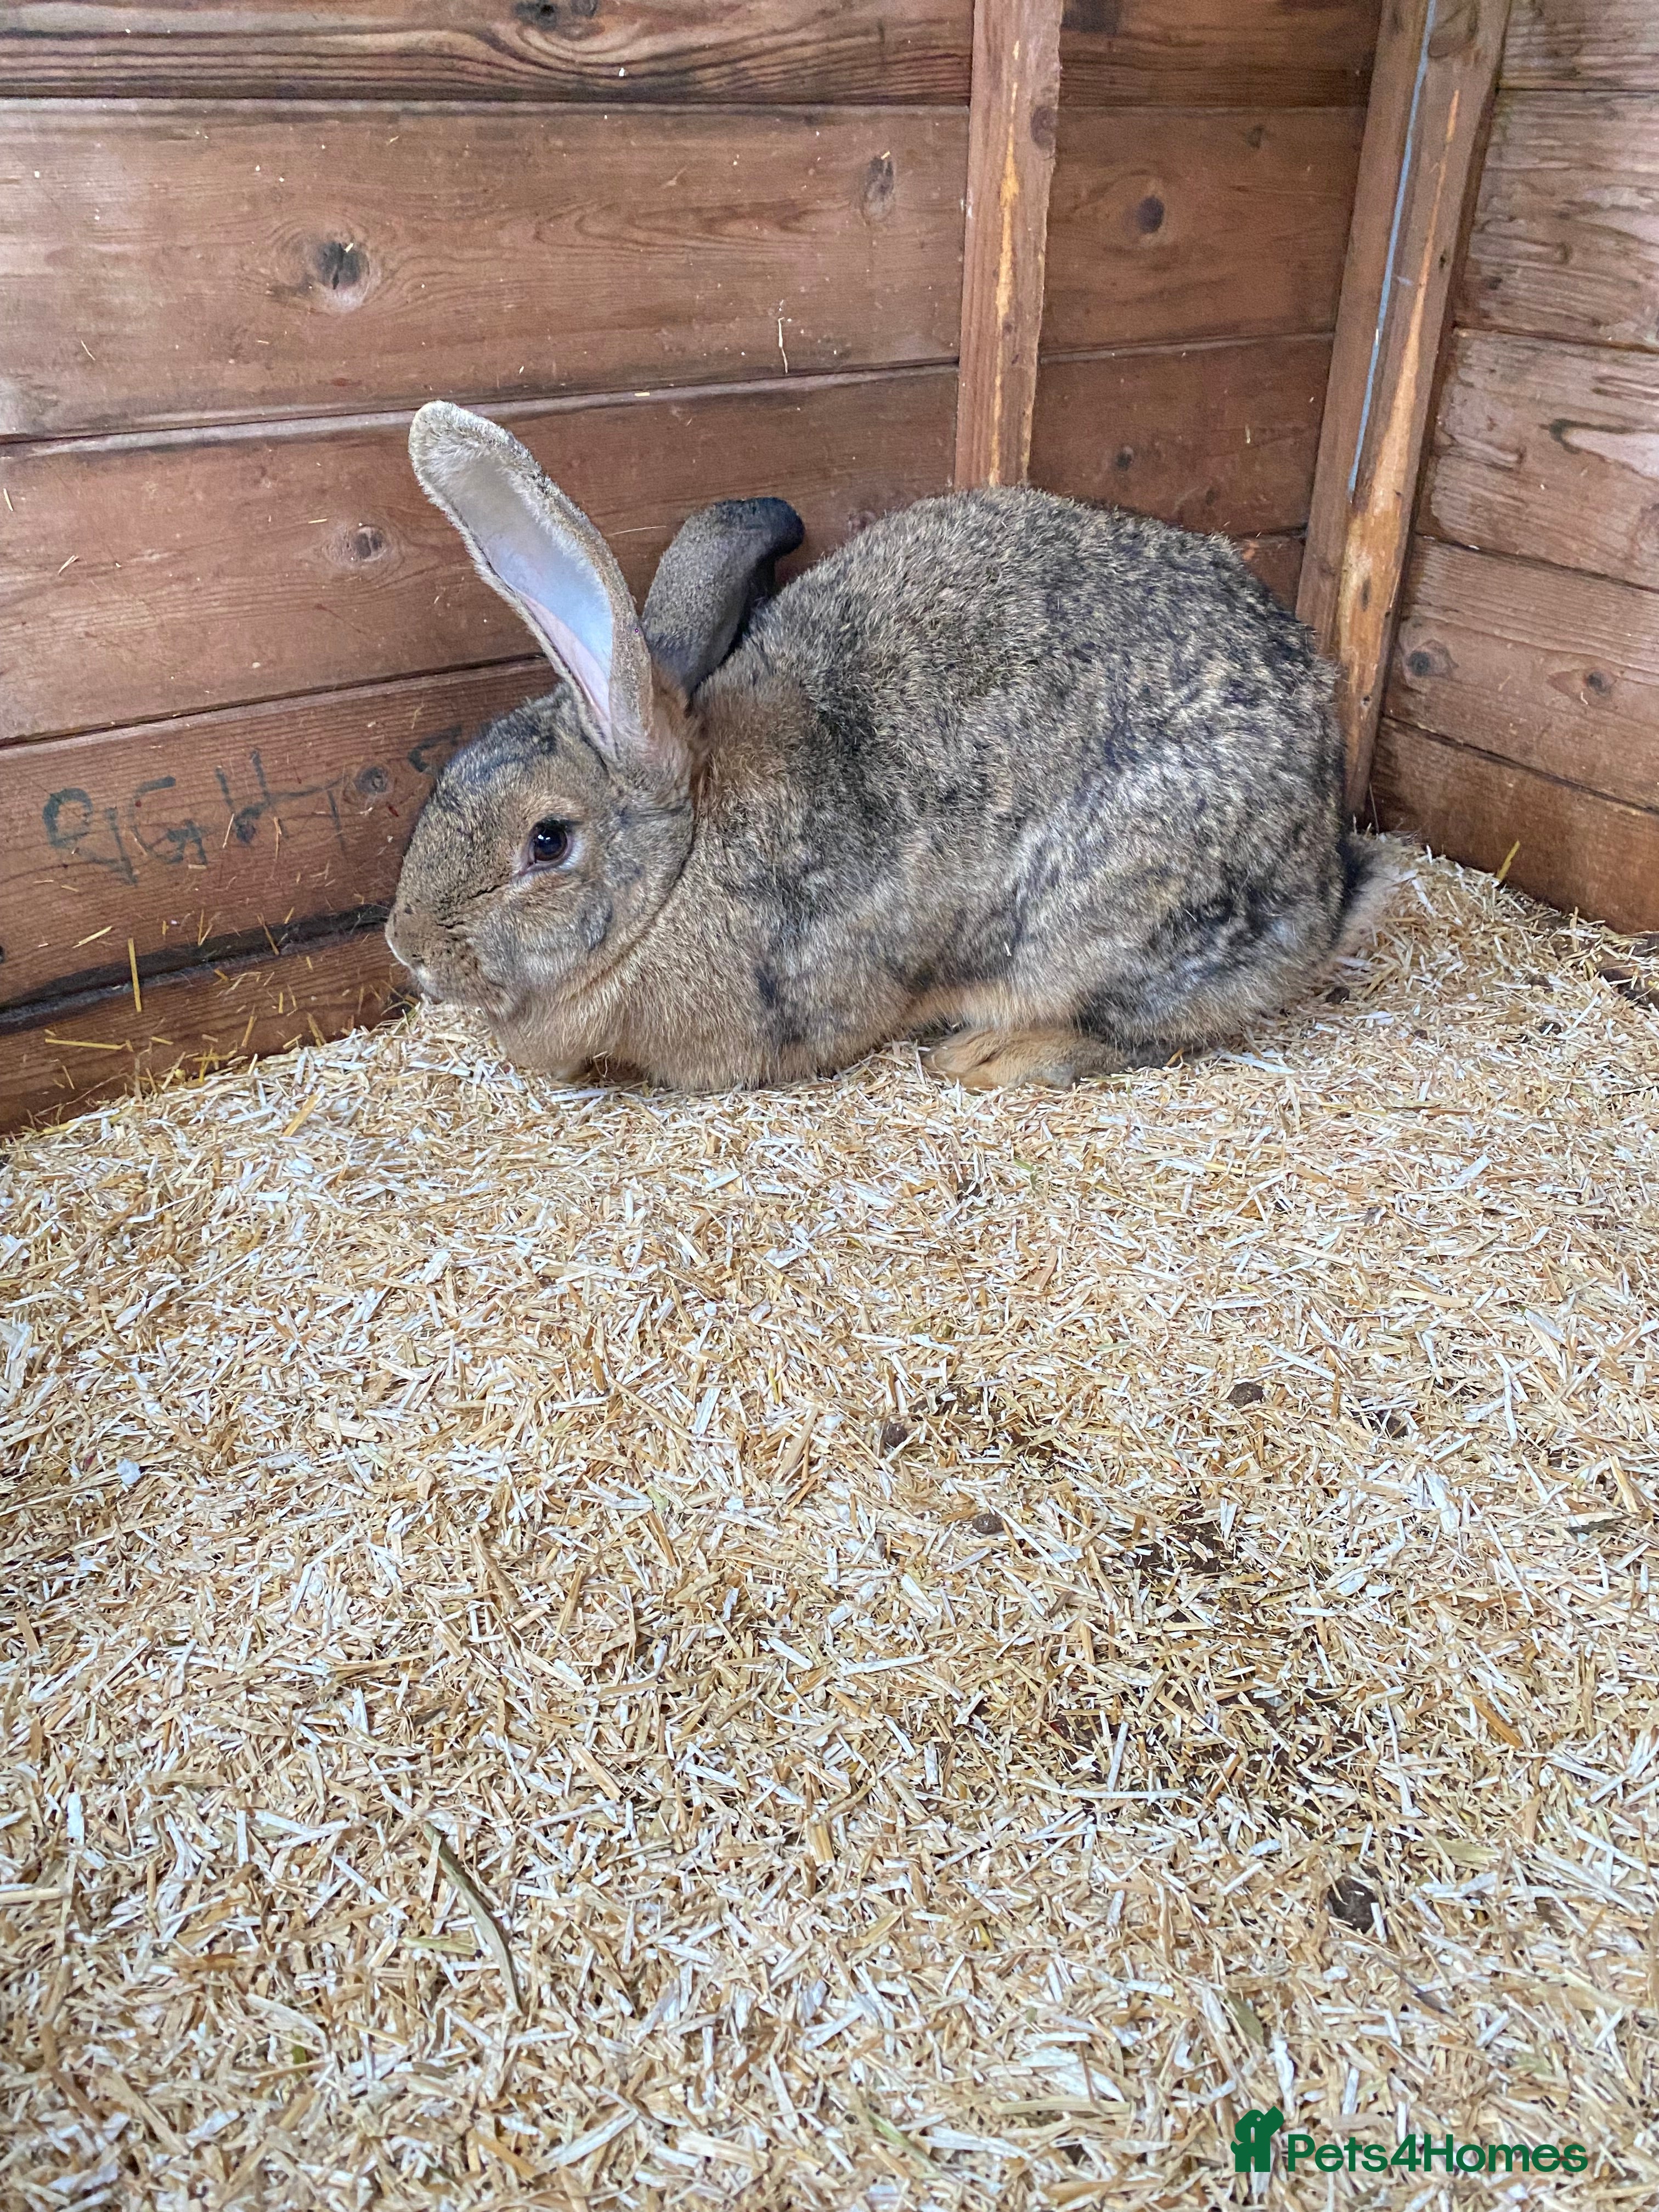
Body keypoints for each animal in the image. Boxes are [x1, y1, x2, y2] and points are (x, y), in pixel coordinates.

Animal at [386, 401, 1392, 1091]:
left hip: (1108, 924)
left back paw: (984, 1055)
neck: (681, 868)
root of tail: (1326, 883)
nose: (407, 949)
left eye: (547, 842)